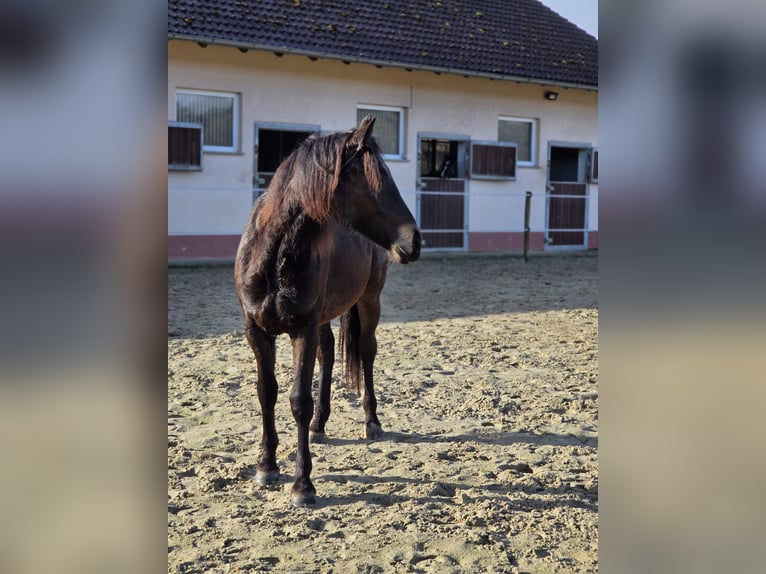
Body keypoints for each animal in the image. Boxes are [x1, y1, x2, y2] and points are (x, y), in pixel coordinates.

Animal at [236, 117, 424, 508]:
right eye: (374, 178)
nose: (414, 240)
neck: (274, 255)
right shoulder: (256, 329)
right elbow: (266, 391)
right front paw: (266, 466)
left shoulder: (302, 329)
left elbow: (298, 401)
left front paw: (302, 485)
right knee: (328, 354)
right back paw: (320, 426)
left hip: (368, 302)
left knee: (366, 353)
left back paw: (372, 422)